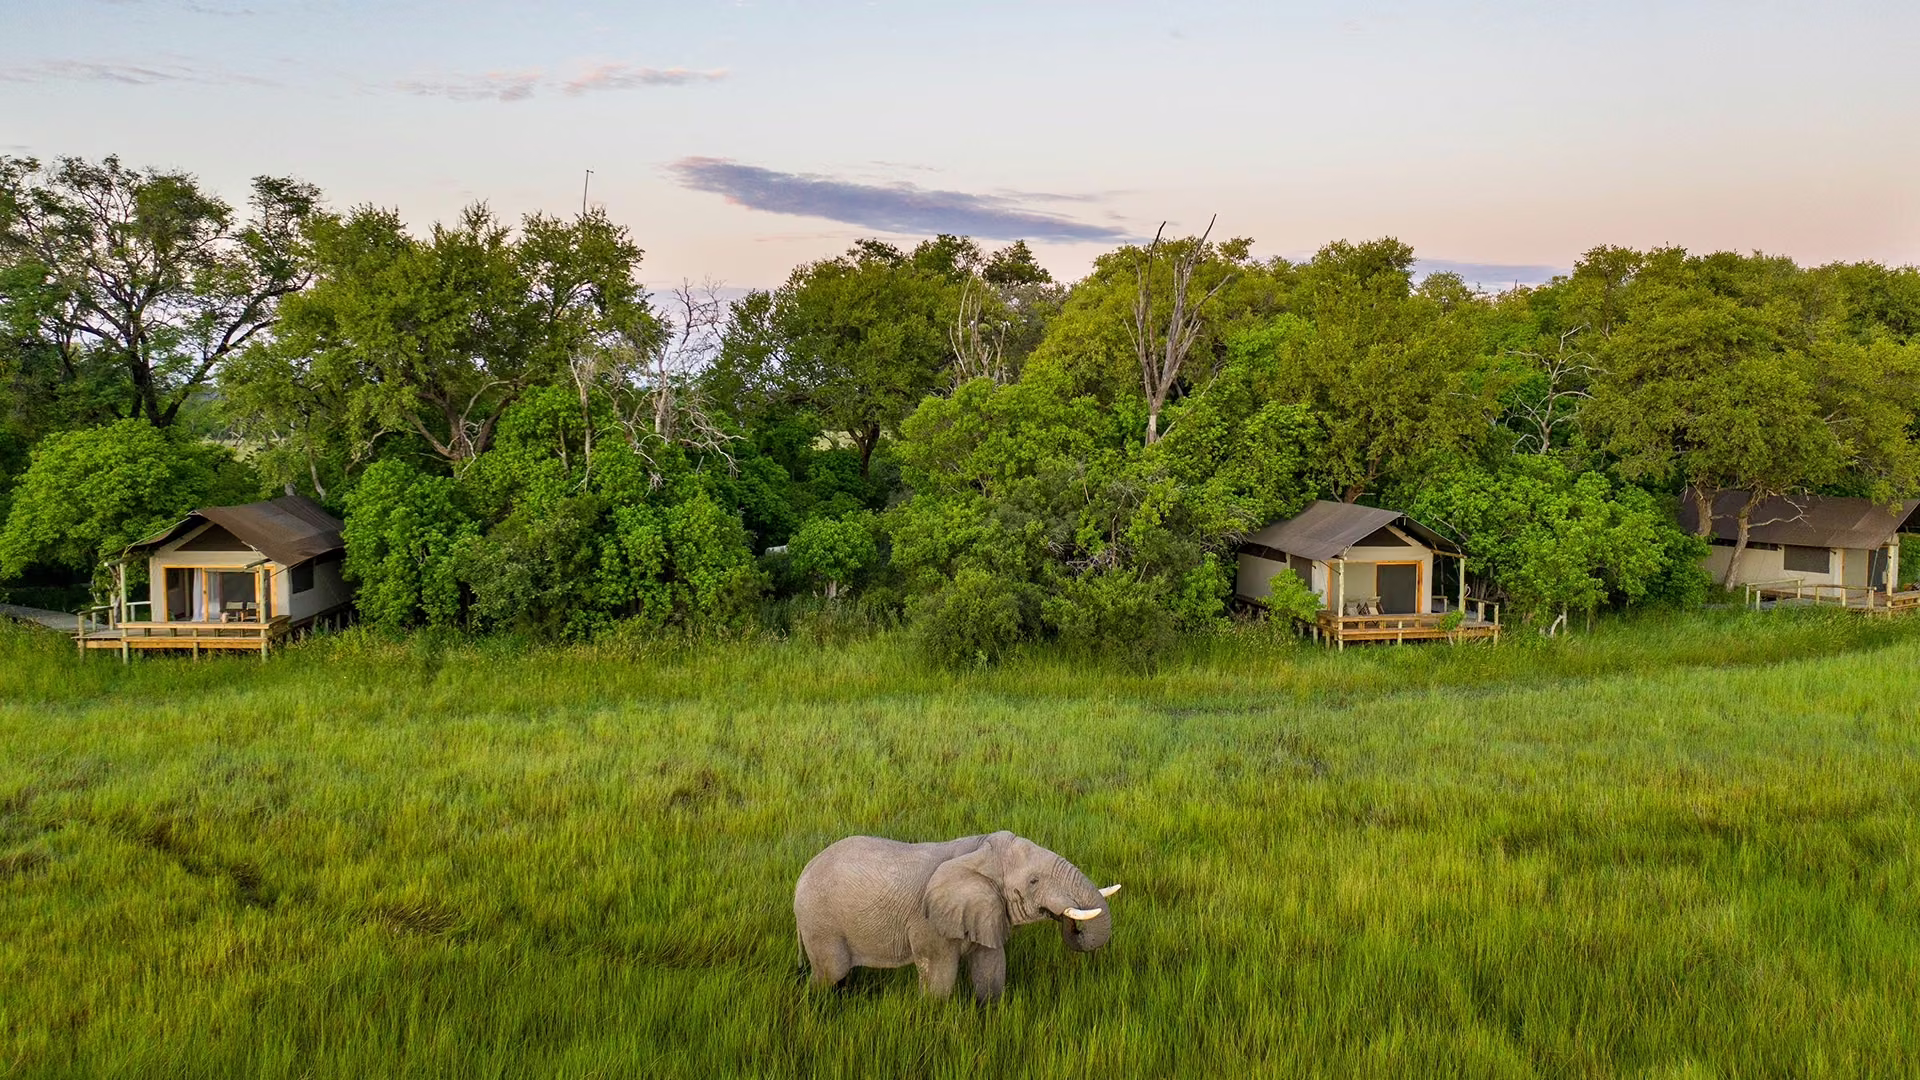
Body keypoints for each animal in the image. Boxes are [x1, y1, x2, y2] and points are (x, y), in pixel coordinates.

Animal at [794, 830, 1120, 1001]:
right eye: (1033, 881)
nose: (1070, 923)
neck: (979, 849)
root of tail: (801, 875)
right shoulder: (928, 924)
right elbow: (939, 981)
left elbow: (991, 968)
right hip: (819, 922)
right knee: (830, 973)